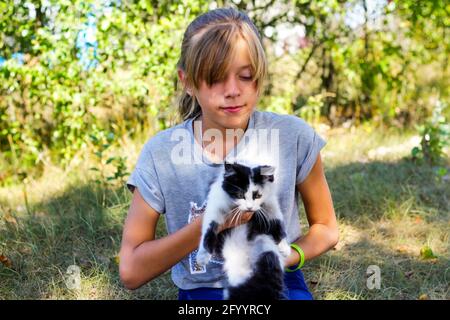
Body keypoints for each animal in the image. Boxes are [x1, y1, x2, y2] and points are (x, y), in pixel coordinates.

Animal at [197, 162, 292, 300]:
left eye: (257, 195)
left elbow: (278, 222)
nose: (249, 207)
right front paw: (202, 256)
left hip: (266, 250)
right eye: (240, 195)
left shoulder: (270, 204)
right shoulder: (215, 205)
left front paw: (285, 247)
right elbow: (208, 229)